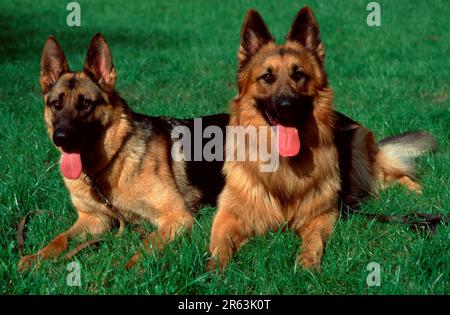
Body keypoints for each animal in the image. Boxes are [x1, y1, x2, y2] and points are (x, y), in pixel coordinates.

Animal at [18, 34, 227, 272]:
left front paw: (132, 268)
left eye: (85, 103)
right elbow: (60, 238)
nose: (60, 138)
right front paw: (37, 257)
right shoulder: (94, 219)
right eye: (56, 104)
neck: (111, 162)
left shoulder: (176, 216)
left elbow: (148, 242)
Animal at [207, 8, 436, 274]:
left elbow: (313, 239)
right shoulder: (228, 215)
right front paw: (215, 270)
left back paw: (417, 191)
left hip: (360, 157)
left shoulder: (322, 215)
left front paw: (306, 264)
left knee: (395, 175)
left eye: (299, 74)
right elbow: (220, 243)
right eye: (267, 77)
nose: (286, 106)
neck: (283, 167)